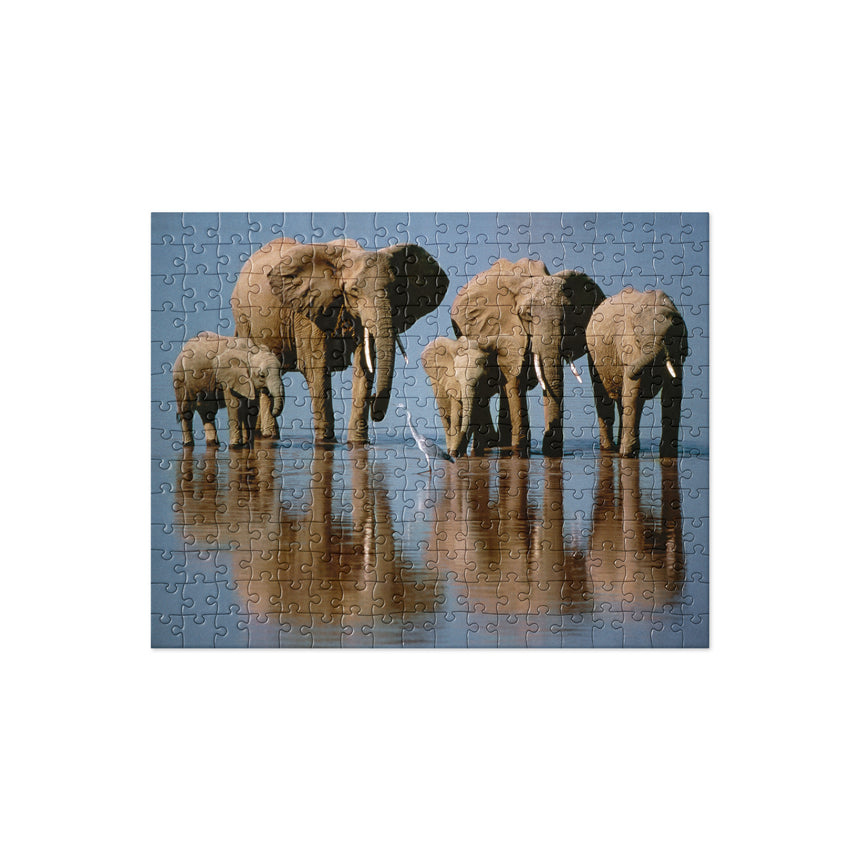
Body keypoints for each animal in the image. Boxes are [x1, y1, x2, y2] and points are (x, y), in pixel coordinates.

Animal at [231, 237, 449, 445]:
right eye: (354, 292)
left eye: (398, 290)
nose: (375, 403)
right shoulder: (309, 309)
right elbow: (316, 368)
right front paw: (325, 442)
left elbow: (365, 368)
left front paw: (358, 443)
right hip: (243, 318)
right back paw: (269, 436)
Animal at [450, 257, 605, 456]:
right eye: (528, 315)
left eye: (568, 313)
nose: (548, 440)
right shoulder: (503, 326)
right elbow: (514, 380)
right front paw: (520, 449)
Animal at [585, 287, 689, 458]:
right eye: (638, 341)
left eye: (669, 340)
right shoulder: (628, 346)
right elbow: (633, 394)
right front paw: (627, 455)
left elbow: (672, 395)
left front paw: (668, 454)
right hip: (593, 356)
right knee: (605, 399)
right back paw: (610, 448)